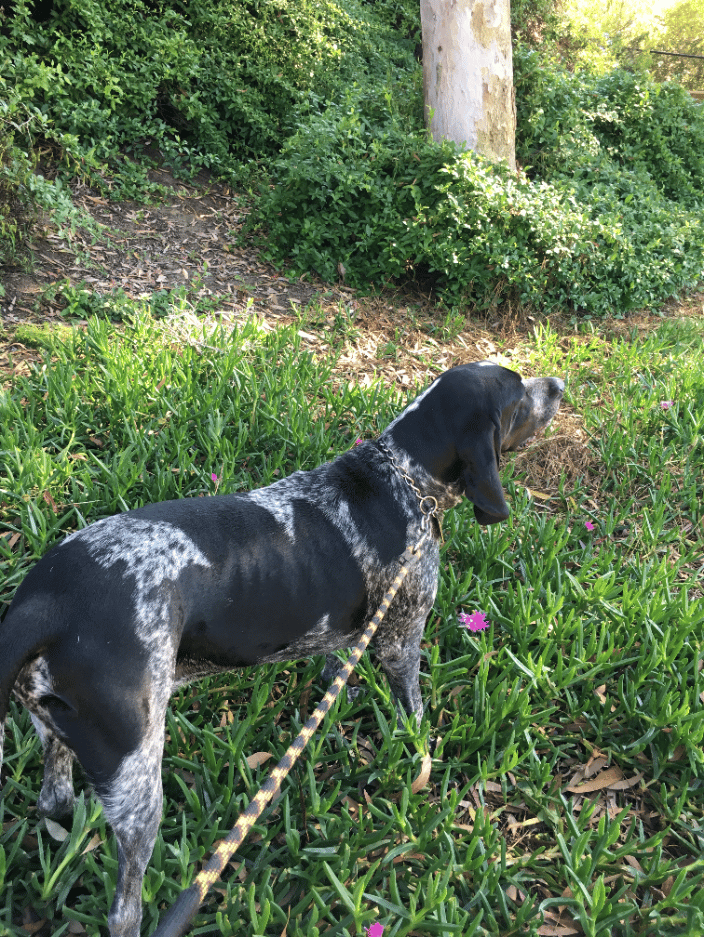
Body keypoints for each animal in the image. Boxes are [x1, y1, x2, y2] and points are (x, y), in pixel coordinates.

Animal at [0, 362, 560, 932]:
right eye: (518, 395)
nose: (558, 386)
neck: (404, 477)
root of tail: (45, 603)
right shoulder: (402, 637)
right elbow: (414, 710)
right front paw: (421, 751)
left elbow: (336, 664)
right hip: (138, 778)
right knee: (123, 911)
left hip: (59, 734)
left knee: (54, 799)